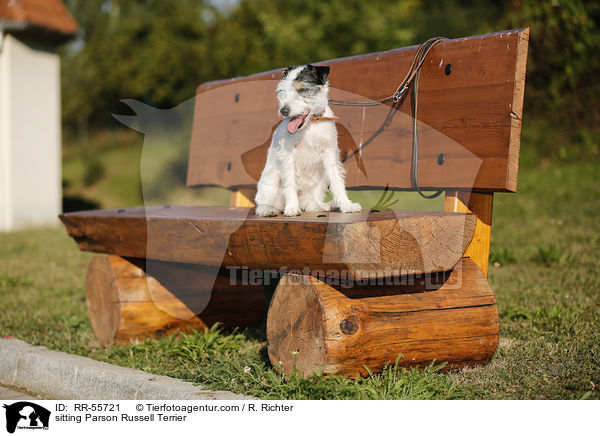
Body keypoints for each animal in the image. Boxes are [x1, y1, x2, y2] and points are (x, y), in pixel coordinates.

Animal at [254, 63, 360, 216]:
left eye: (302, 89)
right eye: (282, 90)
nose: (283, 111)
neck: (311, 124)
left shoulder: (329, 152)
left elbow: (337, 181)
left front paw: (347, 205)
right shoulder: (288, 155)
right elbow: (290, 183)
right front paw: (292, 208)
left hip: (321, 179)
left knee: (311, 204)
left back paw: (321, 206)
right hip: (271, 178)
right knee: (261, 205)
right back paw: (268, 210)